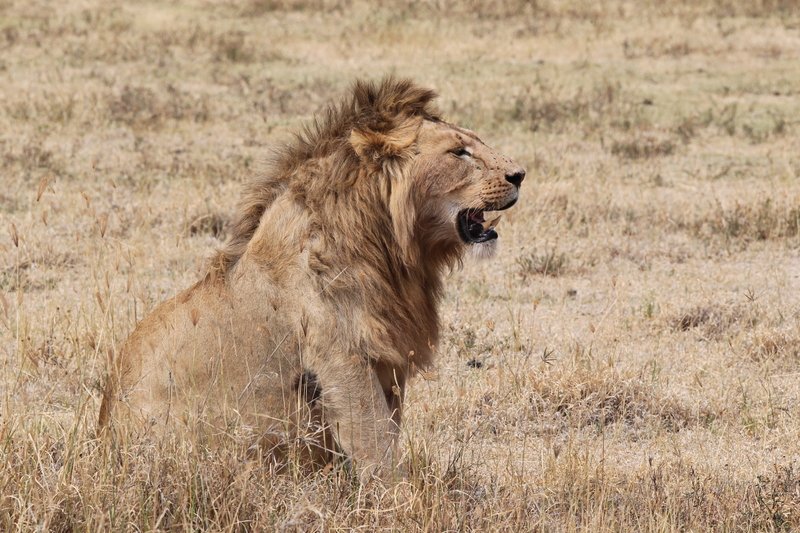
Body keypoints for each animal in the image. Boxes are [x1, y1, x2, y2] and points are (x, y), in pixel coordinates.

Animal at [98, 77, 525, 478]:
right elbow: (377, 447)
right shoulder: (342, 358)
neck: (389, 247)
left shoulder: (389, 362)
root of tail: (106, 438)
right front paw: (400, 498)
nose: (520, 174)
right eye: (459, 152)